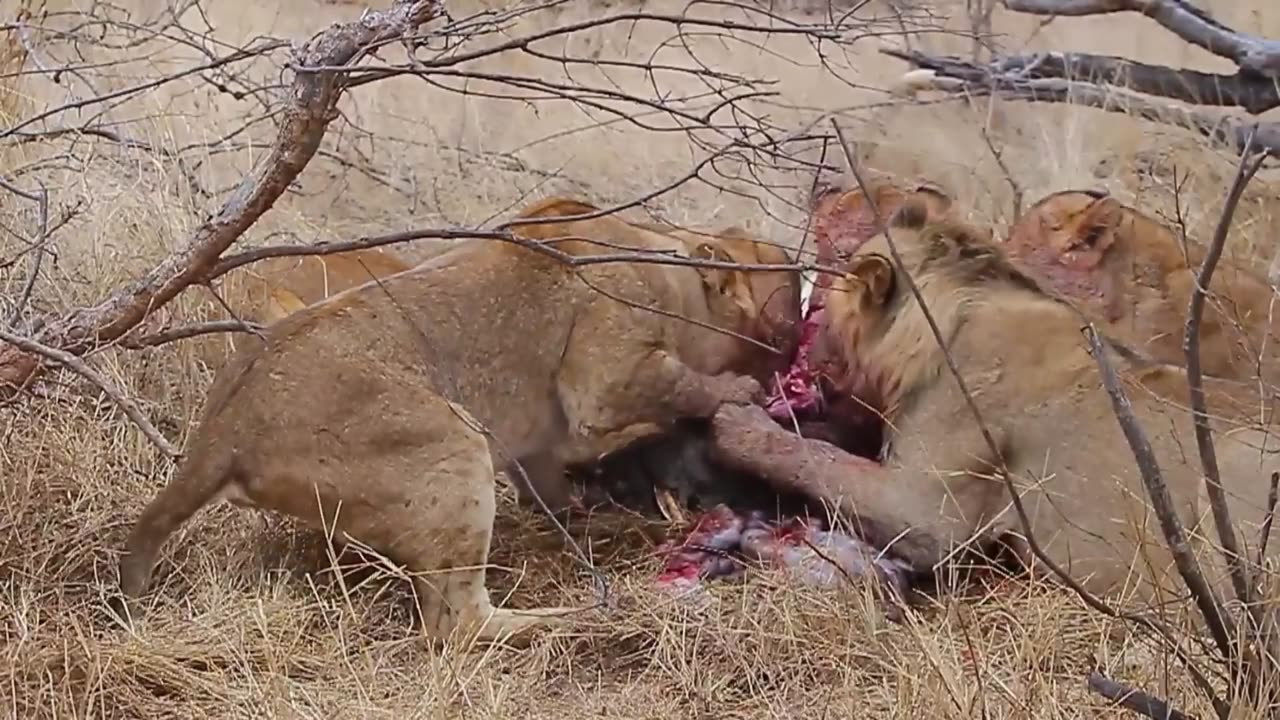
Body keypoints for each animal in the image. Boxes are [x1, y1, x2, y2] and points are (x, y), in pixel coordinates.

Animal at [112, 194, 788, 638]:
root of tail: (222, 432)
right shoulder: (606, 377)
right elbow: (678, 385)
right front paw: (738, 390)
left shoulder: (539, 445)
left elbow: (546, 482)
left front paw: (581, 515)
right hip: (453, 442)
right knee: (457, 625)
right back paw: (575, 618)